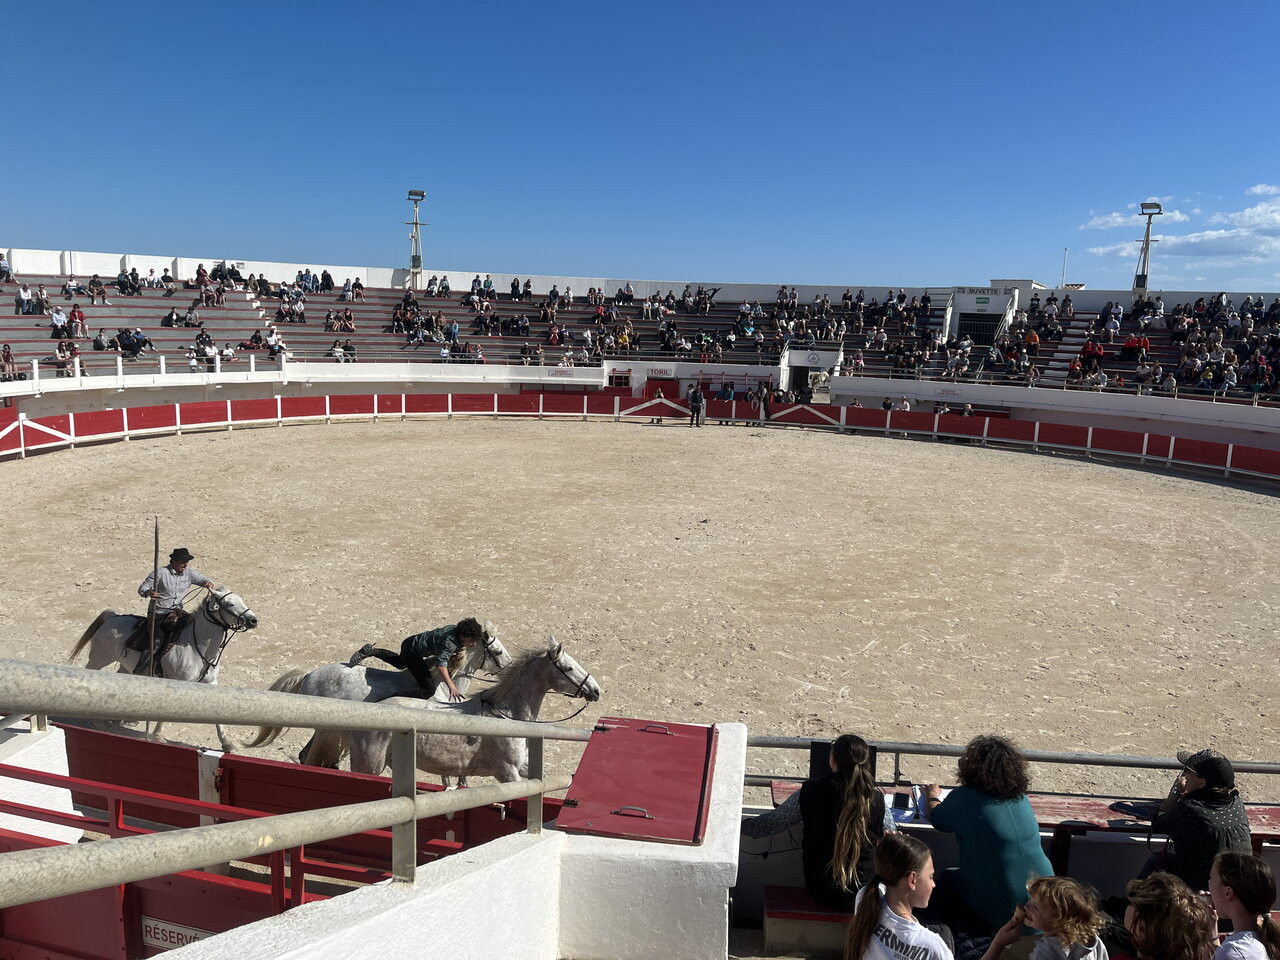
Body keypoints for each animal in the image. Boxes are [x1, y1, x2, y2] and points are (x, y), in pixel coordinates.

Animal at [71, 586, 261, 752]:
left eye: (242, 600)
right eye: (229, 604)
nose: (253, 620)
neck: (197, 646)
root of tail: (113, 618)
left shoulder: (211, 682)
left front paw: (227, 743)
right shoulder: (178, 682)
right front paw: (157, 735)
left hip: (125, 667)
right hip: (98, 659)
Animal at [317, 640, 601, 783]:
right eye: (568, 667)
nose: (595, 690)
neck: (506, 714)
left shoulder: (522, 767)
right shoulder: (507, 772)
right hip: (368, 767)